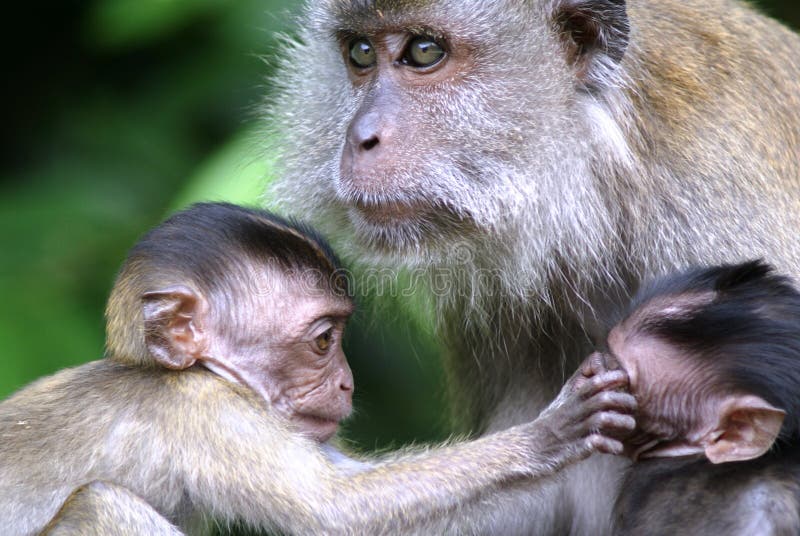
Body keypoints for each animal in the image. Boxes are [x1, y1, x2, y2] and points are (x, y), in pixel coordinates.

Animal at [0, 202, 636, 536]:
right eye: (324, 340)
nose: (347, 382)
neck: (178, 371)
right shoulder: (207, 413)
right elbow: (336, 510)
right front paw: (548, 434)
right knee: (100, 503)